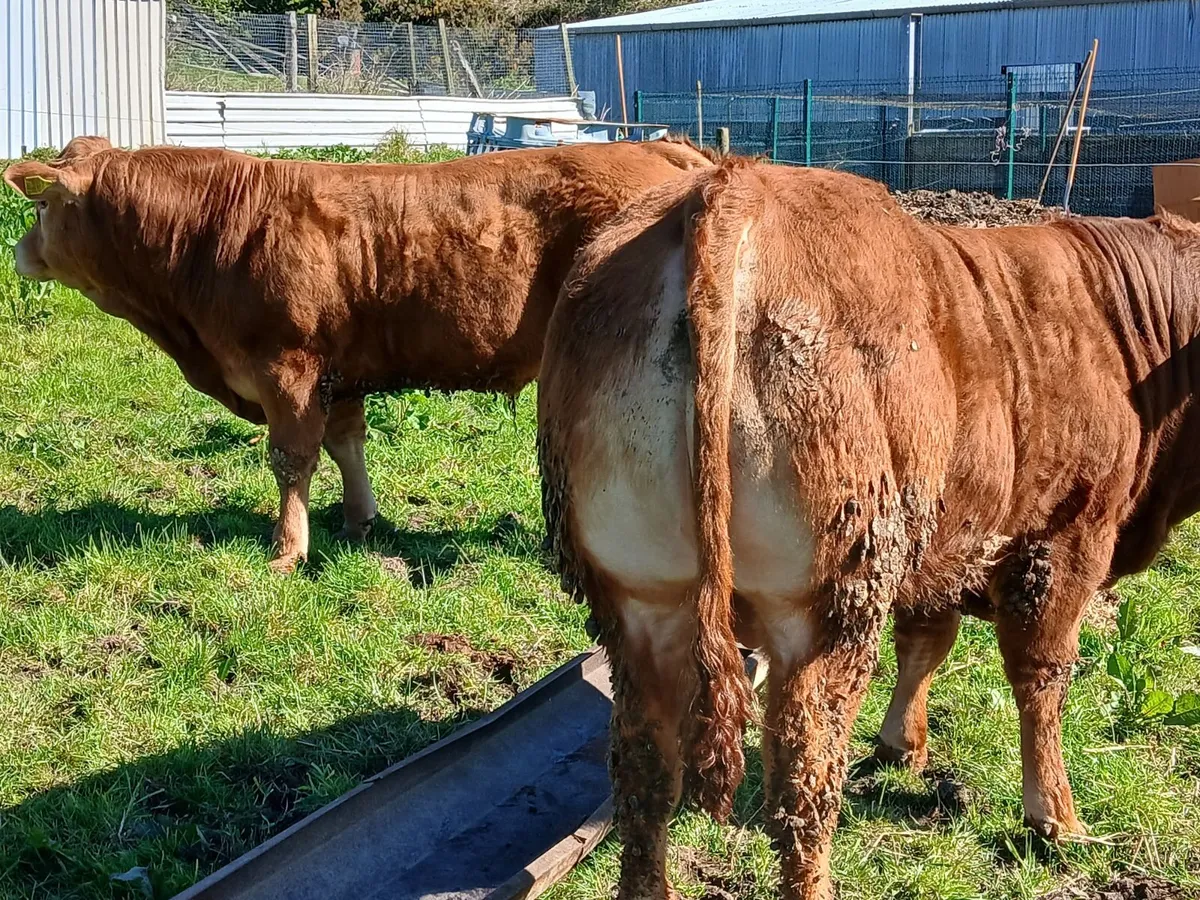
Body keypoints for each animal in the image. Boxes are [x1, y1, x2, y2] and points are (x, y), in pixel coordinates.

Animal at [3, 134, 711, 572]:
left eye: (40, 205)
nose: (18, 252)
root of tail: (660, 146)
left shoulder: (286, 368)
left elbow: (291, 460)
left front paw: (286, 551)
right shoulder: (337, 375)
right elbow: (346, 445)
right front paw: (356, 521)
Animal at [537, 158, 1200, 899]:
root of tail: (736, 184)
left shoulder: (942, 538)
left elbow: (926, 639)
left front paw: (899, 745)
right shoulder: (1066, 538)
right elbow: (1041, 675)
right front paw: (1055, 817)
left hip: (637, 598)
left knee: (646, 772)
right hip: (827, 599)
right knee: (802, 778)